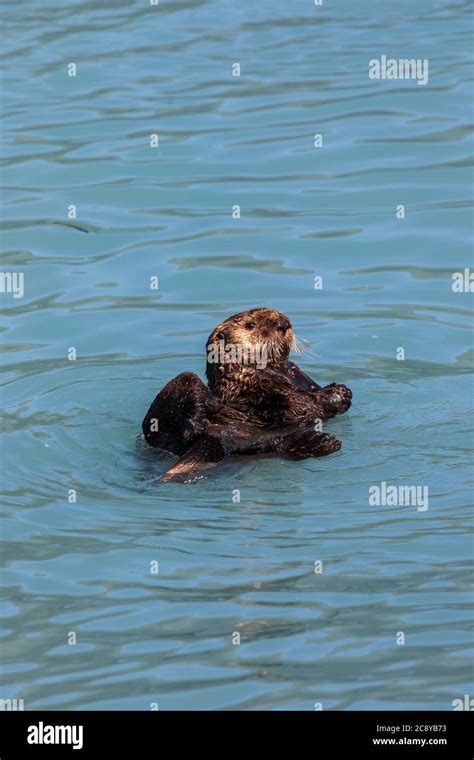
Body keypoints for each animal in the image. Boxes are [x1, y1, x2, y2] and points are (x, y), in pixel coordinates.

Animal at [141, 308, 352, 480]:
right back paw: (201, 409)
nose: (284, 324)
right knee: (177, 428)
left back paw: (321, 442)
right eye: (250, 325)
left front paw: (340, 392)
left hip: (257, 446)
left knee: (276, 447)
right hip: (172, 410)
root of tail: (216, 443)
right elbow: (296, 406)